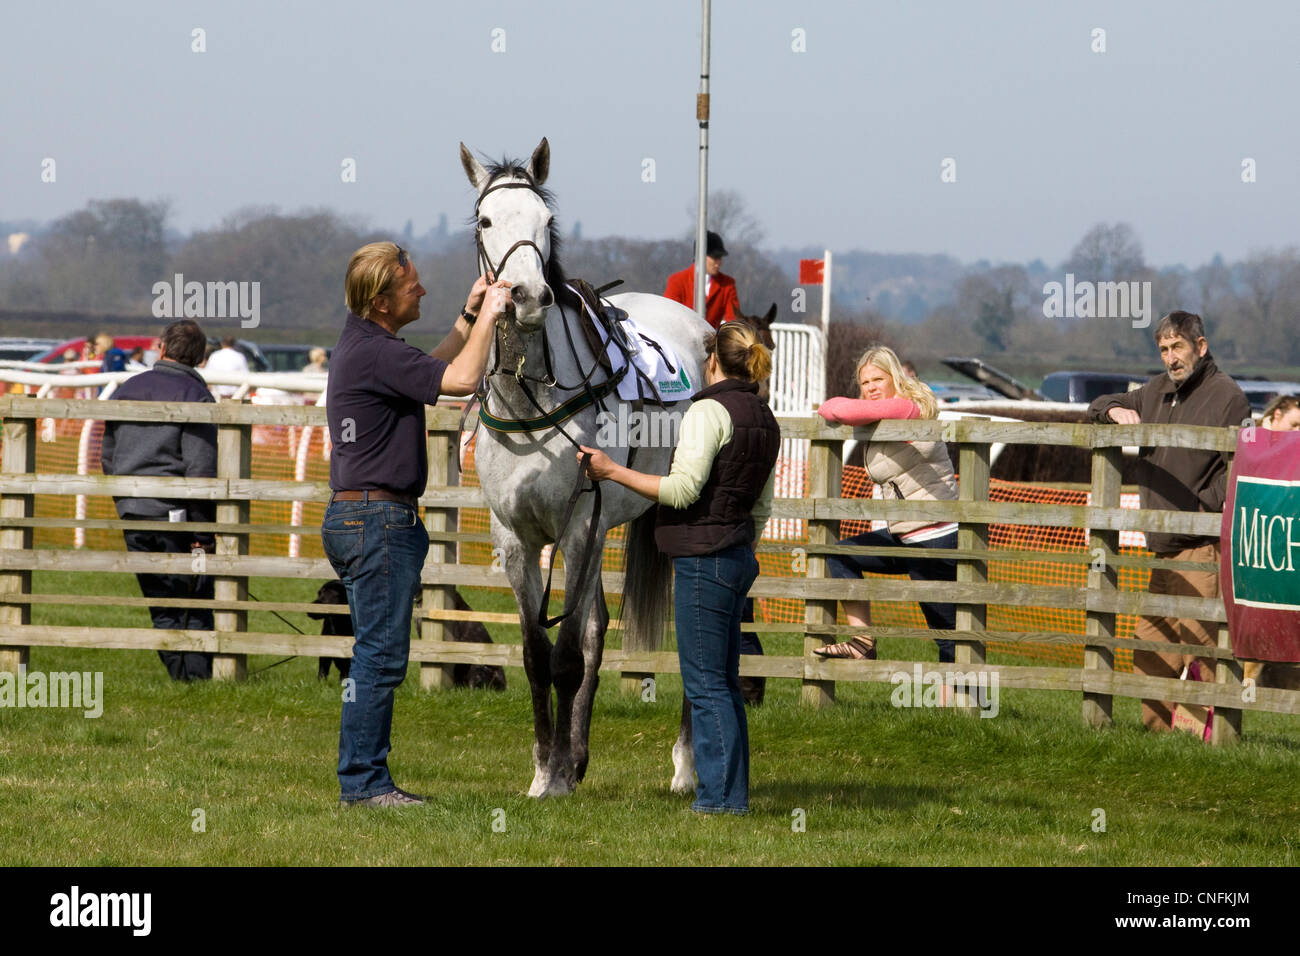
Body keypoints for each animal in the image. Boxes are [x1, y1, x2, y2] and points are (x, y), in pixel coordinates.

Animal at [460, 138, 712, 797]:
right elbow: (536, 655)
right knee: (597, 633)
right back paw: (576, 759)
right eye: (485, 221)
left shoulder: (577, 529)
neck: (532, 401)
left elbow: (567, 656)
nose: (526, 295)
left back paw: (687, 766)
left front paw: (554, 778)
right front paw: (548, 770)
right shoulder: (517, 539)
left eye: (547, 221)